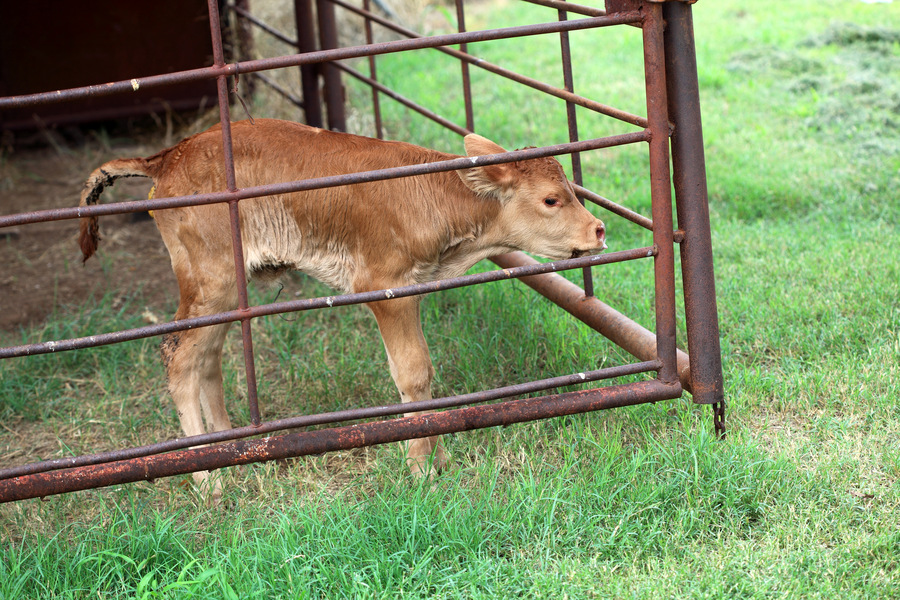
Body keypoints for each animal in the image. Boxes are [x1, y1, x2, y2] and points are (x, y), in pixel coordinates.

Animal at [81, 118, 608, 496]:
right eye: (551, 200)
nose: (599, 229)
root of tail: (169, 155)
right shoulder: (384, 286)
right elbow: (413, 372)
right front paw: (423, 468)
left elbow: (423, 374)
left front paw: (436, 458)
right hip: (211, 281)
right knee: (179, 356)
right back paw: (206, 479)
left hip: (227, 293)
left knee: (207, 358)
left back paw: (233, 450)